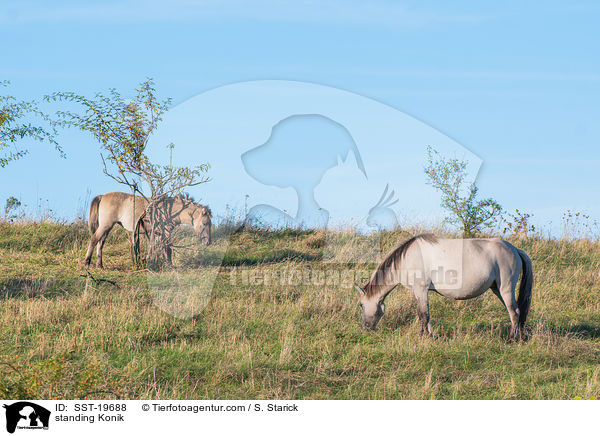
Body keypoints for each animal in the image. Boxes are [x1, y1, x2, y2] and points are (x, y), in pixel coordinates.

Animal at [354, 235, 532, 340]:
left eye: (361, 305)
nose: (365, 328)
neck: (407, 258)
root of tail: (515, 249)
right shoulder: (422, 292)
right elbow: (425, 314)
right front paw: (428, 334)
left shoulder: (420, 290)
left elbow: (423, 314)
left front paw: (425, 336)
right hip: (497, 290)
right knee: (516, 312)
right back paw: (521, 337)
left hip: (506, 289)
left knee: (515, 312)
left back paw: (512, 339)